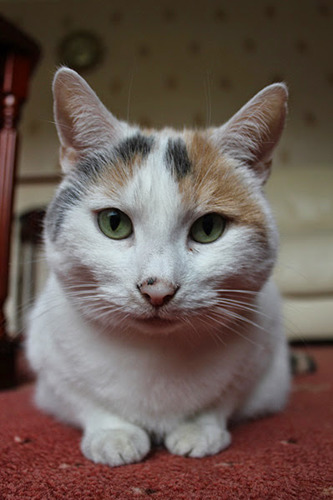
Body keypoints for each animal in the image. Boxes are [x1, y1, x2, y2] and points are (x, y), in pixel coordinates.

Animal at [26, 68, 290, 466]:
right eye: (114, 223)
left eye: (208, 228)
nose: (157, 289)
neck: (155, 355)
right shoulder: (49, 369)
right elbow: (84, 399)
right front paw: (114, 434)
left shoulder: (262, 361)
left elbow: (223, 398)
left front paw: (199, 429)